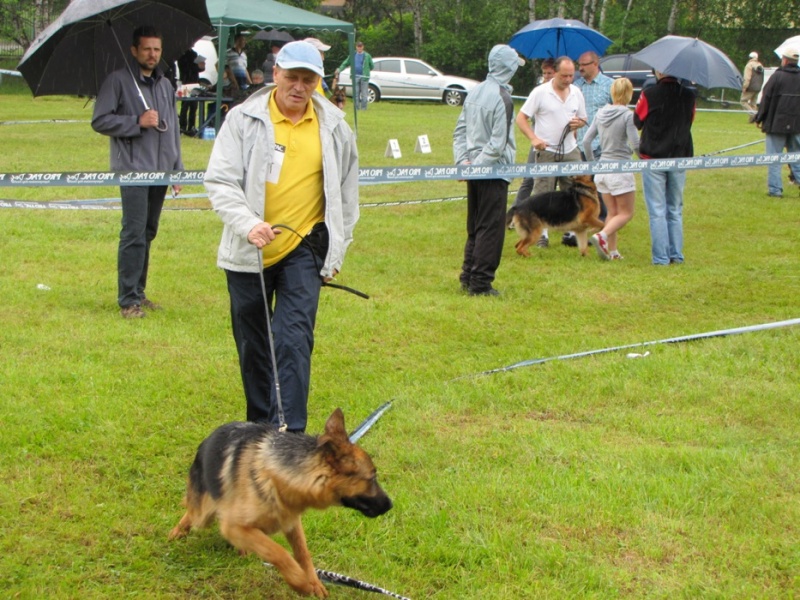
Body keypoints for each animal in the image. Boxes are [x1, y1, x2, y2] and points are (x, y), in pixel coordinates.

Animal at [169, 408, 392, 598]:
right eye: (372, 478)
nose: (391, 505)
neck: (275, 478)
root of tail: (210, 437)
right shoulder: (233, 526)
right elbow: (278, 552)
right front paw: (300, 582)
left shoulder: (291, 522)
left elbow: (302, 553)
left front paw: (314, 582)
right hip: (204, 512)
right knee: (191, 512)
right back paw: (178, 531)